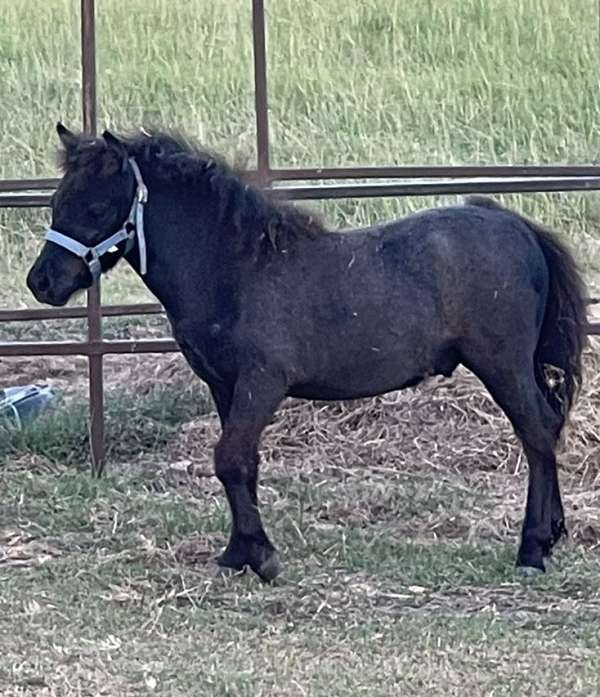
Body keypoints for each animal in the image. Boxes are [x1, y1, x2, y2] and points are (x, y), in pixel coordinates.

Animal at [27, 122, 584, 580]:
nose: (42, 283)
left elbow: (229, 459)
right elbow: (243, 463)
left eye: (97, 208)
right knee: (547, 427)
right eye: (56, 202)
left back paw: (532, 549)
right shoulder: (224, 386)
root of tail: (516, 227)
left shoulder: (262, 383)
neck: (237, 271)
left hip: (503, 364)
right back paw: (553, 534)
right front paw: (239, 553)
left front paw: (262, 557)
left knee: (536, 433)